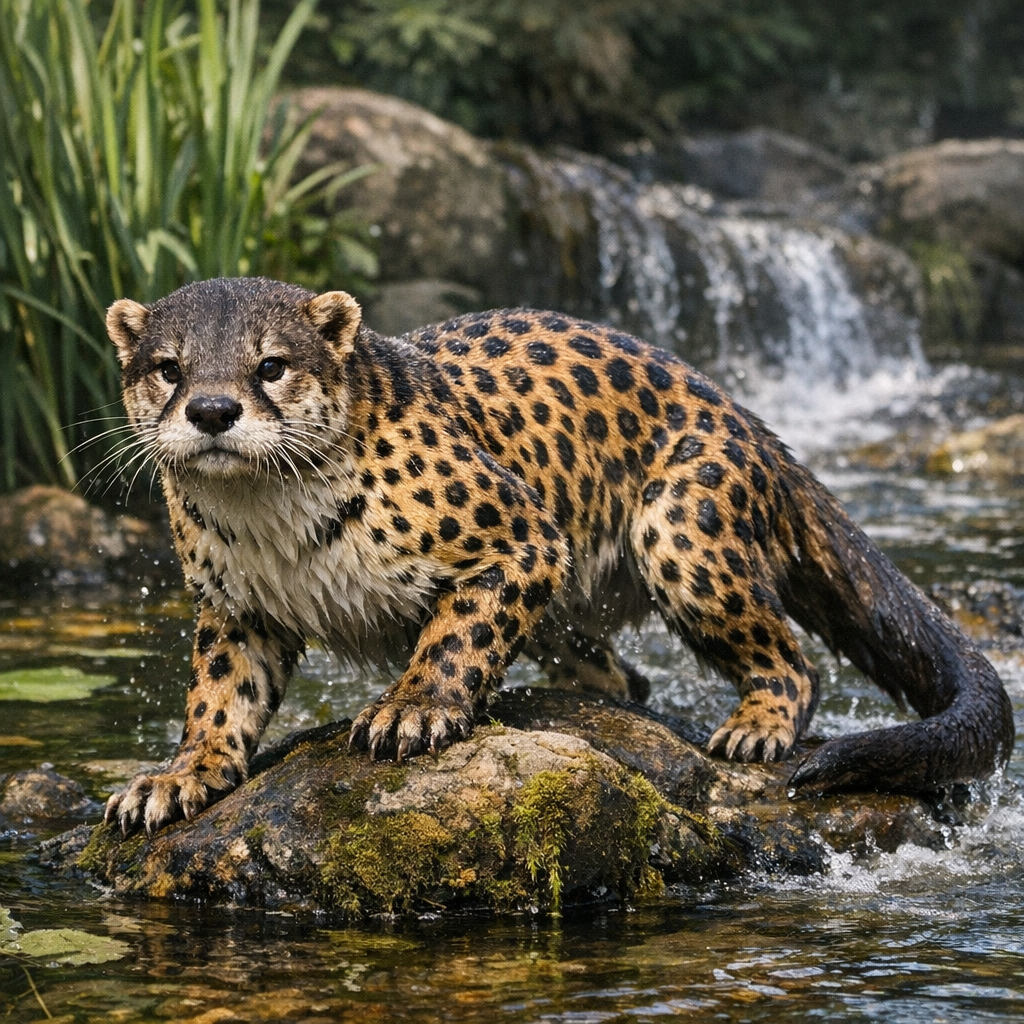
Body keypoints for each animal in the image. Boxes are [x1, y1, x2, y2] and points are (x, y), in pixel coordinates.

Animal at [103, 277, 1014, 835]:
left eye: (272, 366)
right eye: (168, 369)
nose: (212, 412)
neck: (268, 505)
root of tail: (746, 412)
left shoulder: (526, 539)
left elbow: (456, 637)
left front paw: (413, 707)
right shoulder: (239, 613)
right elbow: (218, 700)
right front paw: (181, 774)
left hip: (681, 529)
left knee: (794, 661)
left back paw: (756, 727)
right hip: (570, 622)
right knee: (626, 681)